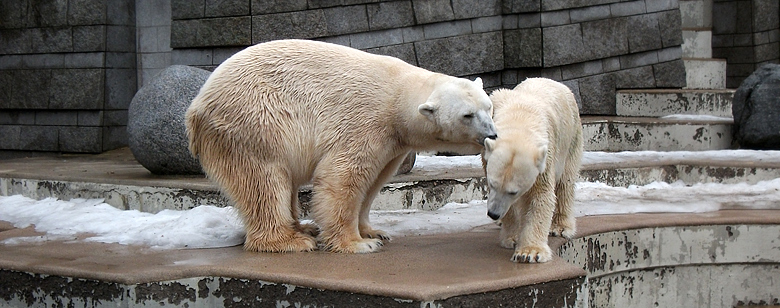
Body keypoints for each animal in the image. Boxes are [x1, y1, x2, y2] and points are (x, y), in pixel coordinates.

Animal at [186, 39, 496, 254]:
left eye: (488, 107)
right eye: (467, 115)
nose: (492, 133)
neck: (398, 98)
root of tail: (197, 106)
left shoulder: (393, 142)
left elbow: (374, 182)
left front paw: (373, 232)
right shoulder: (366, 123)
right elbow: (343, 177)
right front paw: (358, 244)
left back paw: (304, 227)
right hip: (255, 122)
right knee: (263, 181)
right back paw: (290, 240)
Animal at [484, 77, 580, 262]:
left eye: (513, 192)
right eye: (491, 184)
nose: (493, 213)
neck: (520, 116)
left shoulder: (546, 154)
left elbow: (540, 196)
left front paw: (529, 252)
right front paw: (512, 238)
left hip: (572, 136)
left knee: (566, 182)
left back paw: (561, 226)